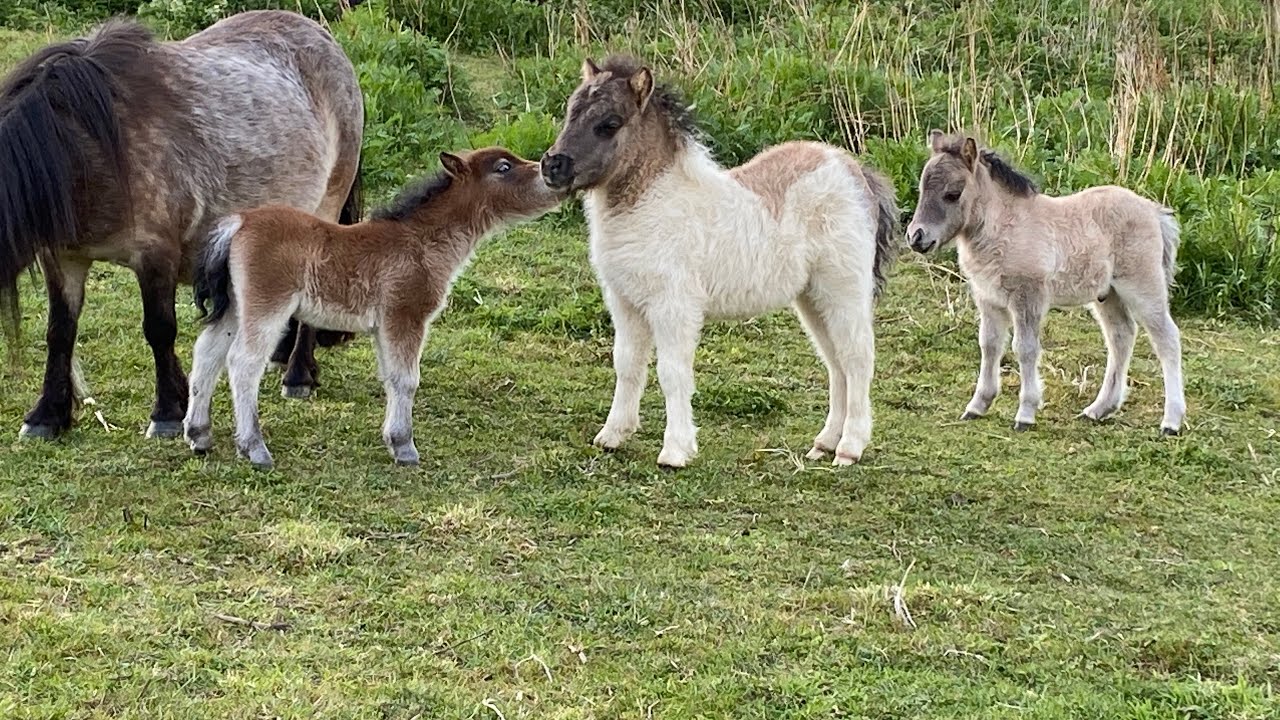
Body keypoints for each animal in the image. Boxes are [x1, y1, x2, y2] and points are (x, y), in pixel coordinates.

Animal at [0, 11, 364, 440]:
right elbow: (60, 331)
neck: (86, 149)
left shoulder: (155, 253)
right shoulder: (63, 257)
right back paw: (279, 354)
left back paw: (298, 375)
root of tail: (325, 38)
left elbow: (159, 329)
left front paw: (168, 412)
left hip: (326, 203)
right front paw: (47, 415)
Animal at [183, 148, 566, 469]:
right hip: (266, 304)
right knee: (243, 363)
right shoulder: (406, 315)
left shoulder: (385, 325)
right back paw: (254, 448)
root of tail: (239, 223)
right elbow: (407, 379)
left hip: (235, 306)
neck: (421, 243)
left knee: (208, 353)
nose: (551, 172)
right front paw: (405, 446)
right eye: (503, 168)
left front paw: (394, 441)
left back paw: (199, 434)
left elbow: (391, 378)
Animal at [540, 56, 899, 468]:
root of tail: (855, 172)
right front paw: (613, 435)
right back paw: (823, 444)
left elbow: (672, 373)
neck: (653, 204)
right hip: (812, 298)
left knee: (857, 358)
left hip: (843, 289)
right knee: (835, 362)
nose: (552, 166)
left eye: (610, 123)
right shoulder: (625, 302)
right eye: (571, 110)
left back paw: (849, 448)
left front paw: (675, 450)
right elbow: (627, 365)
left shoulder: (674, 306)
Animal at [906, 130, 1185, 435]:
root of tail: (1154, 211)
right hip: (1108, 294)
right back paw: (1098, 410)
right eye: (922, 189)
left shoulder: (1027, 297)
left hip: (1142, 287)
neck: (1005, 227)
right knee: (1120, 337)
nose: (916, 237)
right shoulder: (988, 298)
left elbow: (1025, 349)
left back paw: (1171, 422)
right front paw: (978, 406)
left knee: (1167, 339)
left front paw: (1025, 413)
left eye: (952, 194)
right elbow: (989, 345)